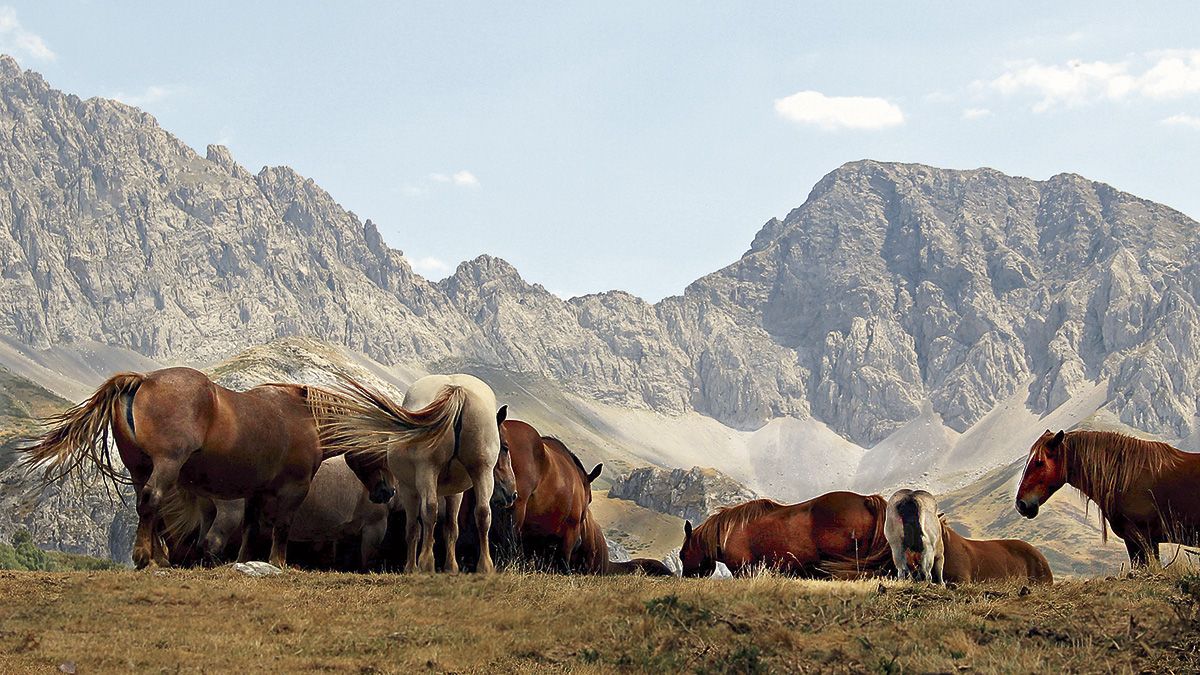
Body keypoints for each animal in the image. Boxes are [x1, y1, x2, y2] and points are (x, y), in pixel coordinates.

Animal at [23, 367, 463, 566]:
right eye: (376, 448)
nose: (386, 492)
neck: (304, 417)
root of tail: (143, 380)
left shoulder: (255, 492)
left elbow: (252, 528)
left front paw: (244, 562)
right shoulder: (292, 490)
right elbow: (281, 527)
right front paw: (279, 563)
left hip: (139, 469)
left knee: (151, 510)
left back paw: (157, 557)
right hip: (164, 467)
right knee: (152, 502)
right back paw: (147, 558)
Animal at [309, 369, 516, 569]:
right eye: (505, 447)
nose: (512, 493)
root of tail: (457, 390)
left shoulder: (409, 490)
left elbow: (413, 529)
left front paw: (412, 567)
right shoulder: (452, 492)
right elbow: (449, 527)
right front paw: (450, 567)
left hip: (430, 471)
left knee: (430, 510)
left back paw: (426, 564)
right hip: (481, 471)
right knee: (482, 513)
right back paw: (484, 567)